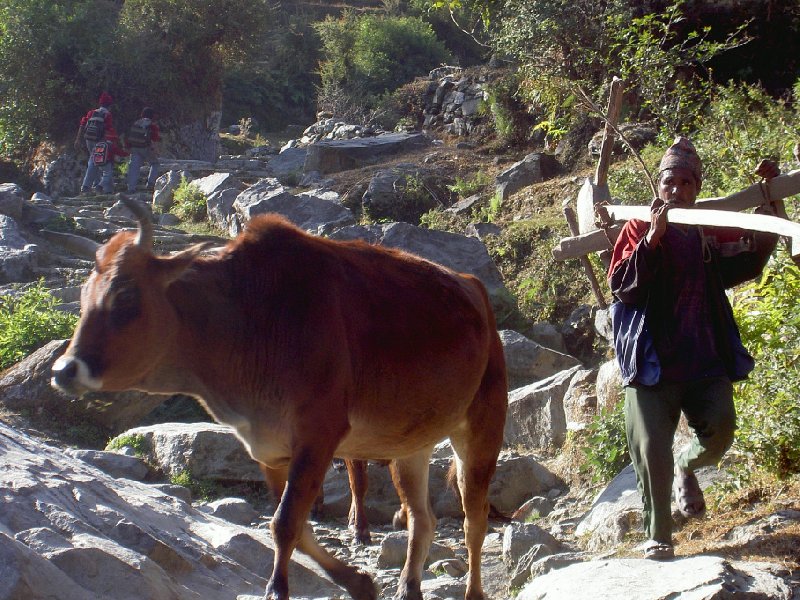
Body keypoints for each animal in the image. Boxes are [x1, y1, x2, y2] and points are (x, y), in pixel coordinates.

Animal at [51, 200, 506, 600]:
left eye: (125, 297)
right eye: (83, 296)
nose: (64, 370)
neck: (250, 318)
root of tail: (474, 287)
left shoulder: (319, 434)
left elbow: (285, 523)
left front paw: (278, 589)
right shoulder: (267, 447)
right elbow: (296, 527)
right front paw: (359, 582)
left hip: (483, 429)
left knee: (474, 521)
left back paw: (473, 591)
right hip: (410, 446)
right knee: (422, 519)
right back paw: (408, 586)